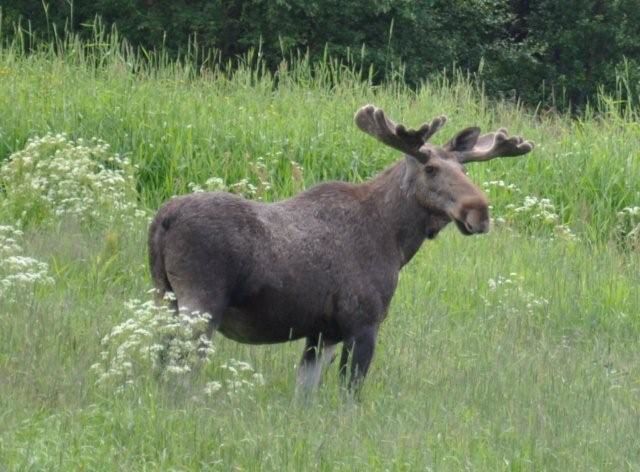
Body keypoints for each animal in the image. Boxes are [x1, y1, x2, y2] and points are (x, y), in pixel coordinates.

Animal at [148, 105, 532, 392]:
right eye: (432, 168)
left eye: (464, 168)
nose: (479, 212)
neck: (396, 242)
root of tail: (162, 220)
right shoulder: (363, 322)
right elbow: (350, 394)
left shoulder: (322, 332)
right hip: (201, 303)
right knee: (179, 372)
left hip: (164, 299)